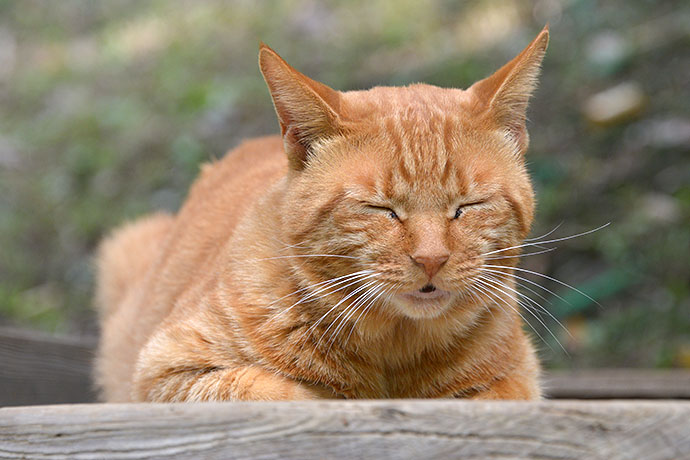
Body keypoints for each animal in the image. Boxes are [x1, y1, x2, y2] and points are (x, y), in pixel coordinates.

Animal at [95, 27, 548, 400]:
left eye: (468, 206)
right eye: (380, 209)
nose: (432, 259)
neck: (392, 352)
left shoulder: (518, 380)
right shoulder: (166, 372)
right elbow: (281, 393)